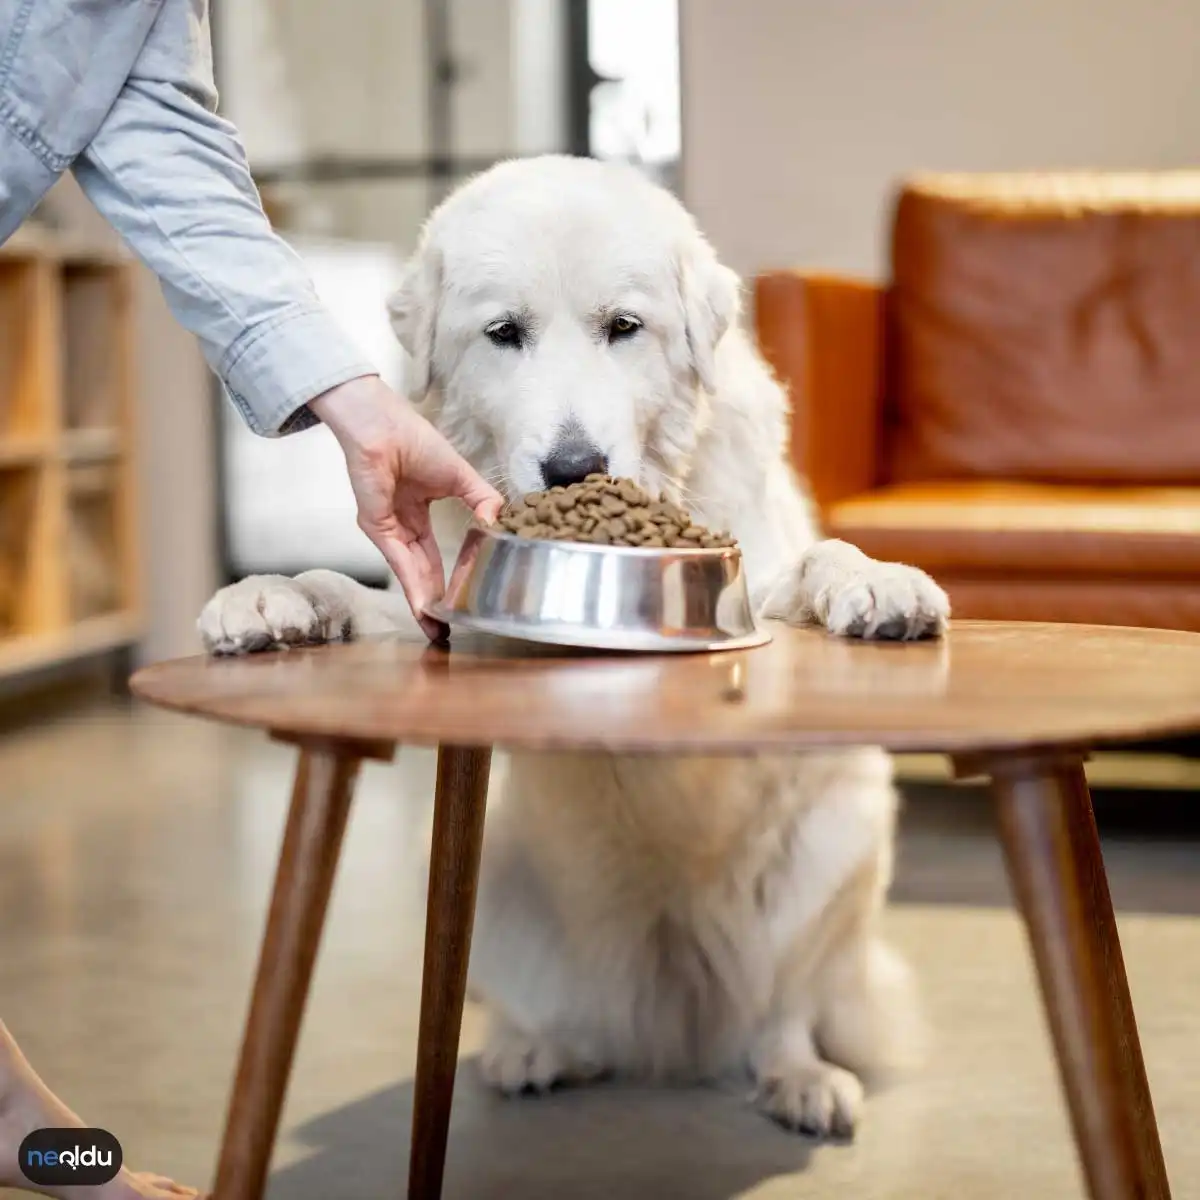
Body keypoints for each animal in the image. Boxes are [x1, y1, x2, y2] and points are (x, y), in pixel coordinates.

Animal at [199, 154, 945, 1137]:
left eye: (623, 328)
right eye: (503, 334)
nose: (572, 470)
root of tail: (669, 1029)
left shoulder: (758, 582)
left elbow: (823, 558)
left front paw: (882, 582)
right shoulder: (441, 616)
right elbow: (339, 589)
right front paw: (266, 596)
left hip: (839, 849)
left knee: (781, 1012)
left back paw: (800, 1080)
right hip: (490, 878)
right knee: (553, 1012)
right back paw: (535, 1051)